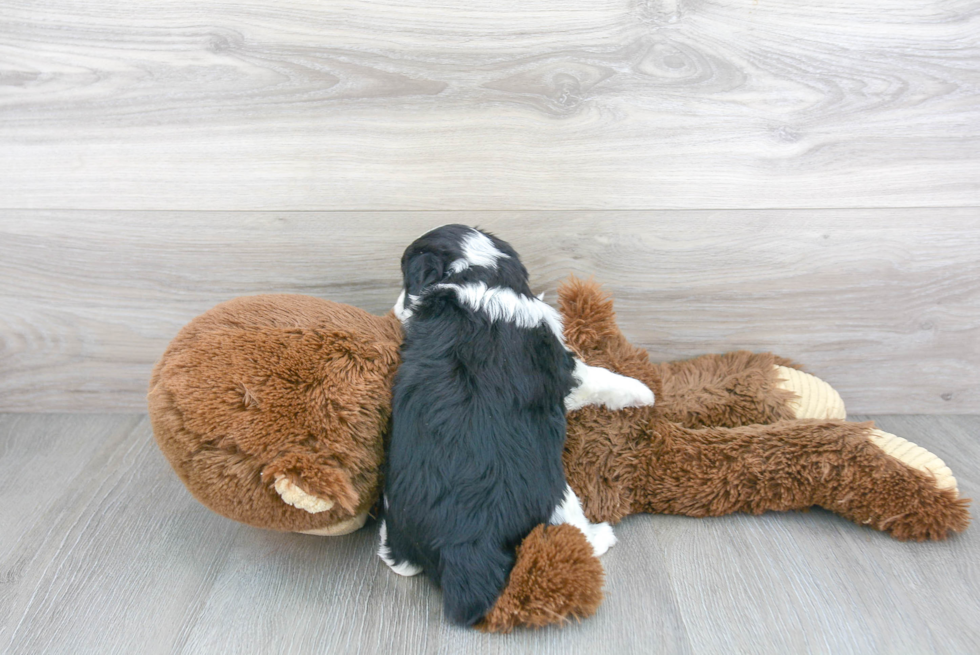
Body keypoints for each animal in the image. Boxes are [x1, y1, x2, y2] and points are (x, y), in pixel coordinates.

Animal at [378, 226, 656, 624]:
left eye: (406, 282)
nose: (395, 310)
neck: (476, 278)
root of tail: (461, 546)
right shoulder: (566, 368)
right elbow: (602, 377)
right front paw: (644, 393)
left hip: (399, 527)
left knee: (399, 562)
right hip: (556, 498)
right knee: (573, 534)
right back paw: (602, 536)